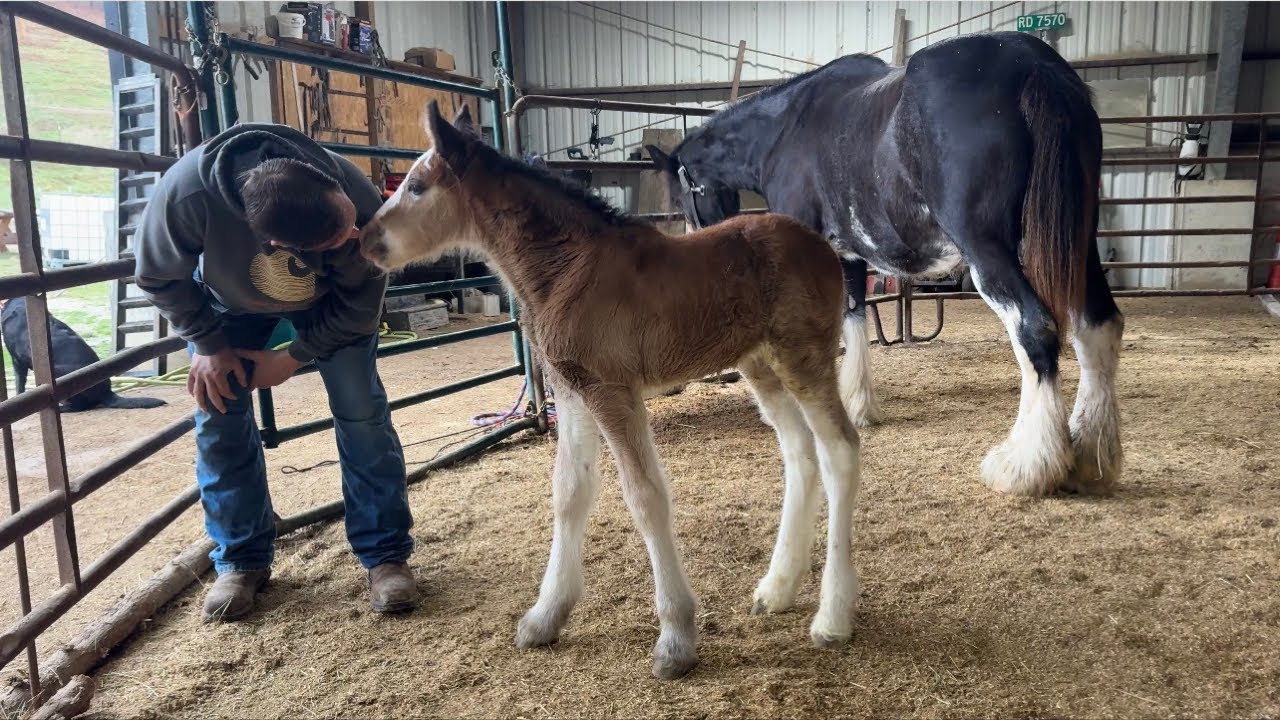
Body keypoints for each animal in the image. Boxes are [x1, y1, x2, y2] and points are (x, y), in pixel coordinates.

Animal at [360, 101, 863, 679]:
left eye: (417, 186)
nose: (365, 240)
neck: (566, 269)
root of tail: (823, 246)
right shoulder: (572, 389)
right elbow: (568, 492)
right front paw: (545, 616)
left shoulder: (612, 389)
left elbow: (645, 496)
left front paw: (675, 638)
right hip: (761, 365)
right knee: (800, 452)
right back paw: (778, 589)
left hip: (804, 357)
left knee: (840, 450)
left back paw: (832, 617)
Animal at [646, 30, 1123, 498]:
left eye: (682, 195)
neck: (785, 129)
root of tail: (1033, 64)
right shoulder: (849, 254)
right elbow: (854, 318)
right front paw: (856, 405)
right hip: (1079, 241)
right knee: (1097, 326)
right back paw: (1091, 458)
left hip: (989, 249)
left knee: (1034, 329)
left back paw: (1025, 466)